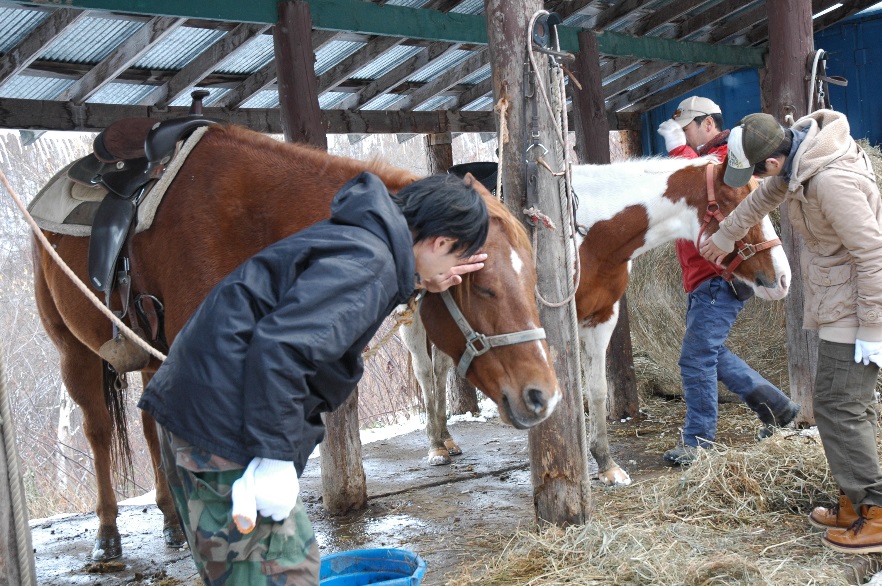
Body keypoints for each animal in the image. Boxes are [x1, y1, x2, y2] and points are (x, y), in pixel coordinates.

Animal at [34, 125, 560, 560]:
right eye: (483, 287)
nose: (544, 395)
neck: (253, 219)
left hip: (146, 354)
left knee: (146, 428)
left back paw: (170, 521)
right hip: (73, 353)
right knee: (99, 431)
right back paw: (107, 535)